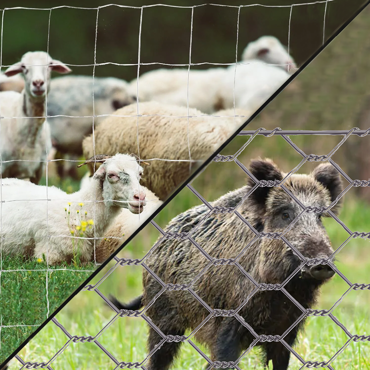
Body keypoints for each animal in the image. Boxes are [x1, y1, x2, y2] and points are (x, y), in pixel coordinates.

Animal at [110, 159, 344, 370]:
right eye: (285, 214)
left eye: (319, 217)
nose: (321, 263)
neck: (278, 292)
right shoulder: (227, 321)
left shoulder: (287, 329)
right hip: (162, 318)